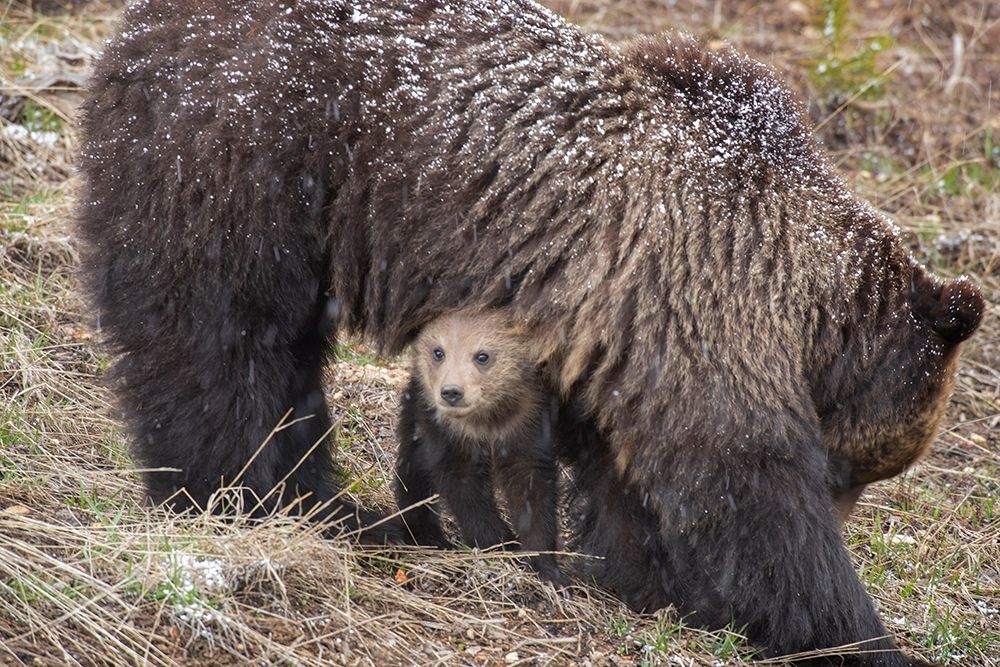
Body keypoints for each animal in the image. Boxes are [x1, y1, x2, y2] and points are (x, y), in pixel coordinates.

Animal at [394, 309, 568, 586]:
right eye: (438, 351)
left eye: (482, 355)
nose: (452, 392)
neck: (486, 422)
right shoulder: (445, 434)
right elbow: (465, 491)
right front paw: (502, 544)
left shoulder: (527, 425)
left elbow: (533, 491)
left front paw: (547, 568)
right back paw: (426, 534)